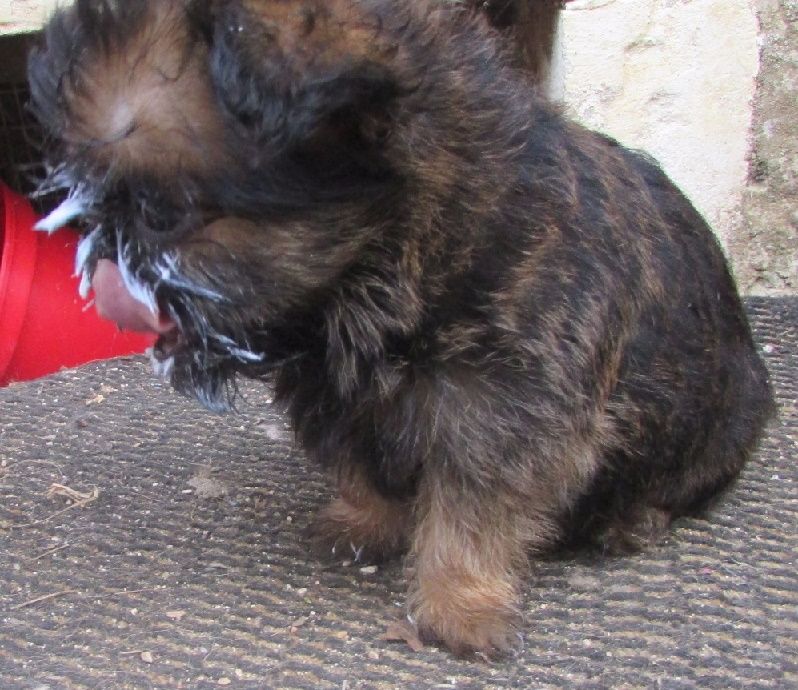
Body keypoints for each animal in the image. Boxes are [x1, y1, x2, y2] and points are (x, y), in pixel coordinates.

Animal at [28, 0, 773, 657]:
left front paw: (459, 602)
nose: (101, 268)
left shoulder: (505, 414)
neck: (388, 265)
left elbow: (471, 516)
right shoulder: (339, 394)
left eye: (163, 214)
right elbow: (366, 466)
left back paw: (633, 518)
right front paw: (368, 521)